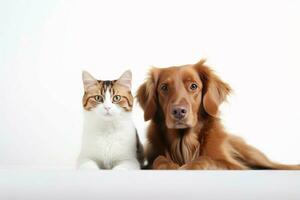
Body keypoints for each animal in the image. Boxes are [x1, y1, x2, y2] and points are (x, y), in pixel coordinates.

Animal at [137, 59, 300, 170]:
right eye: (164, 88)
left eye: (194, 86)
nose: (178, 111)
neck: (184, 142)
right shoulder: (151, 158)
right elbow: (158, 159)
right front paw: (168, 165)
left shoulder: (234, 166)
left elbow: (208, 159)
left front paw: (191, 165)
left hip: (253, 155)